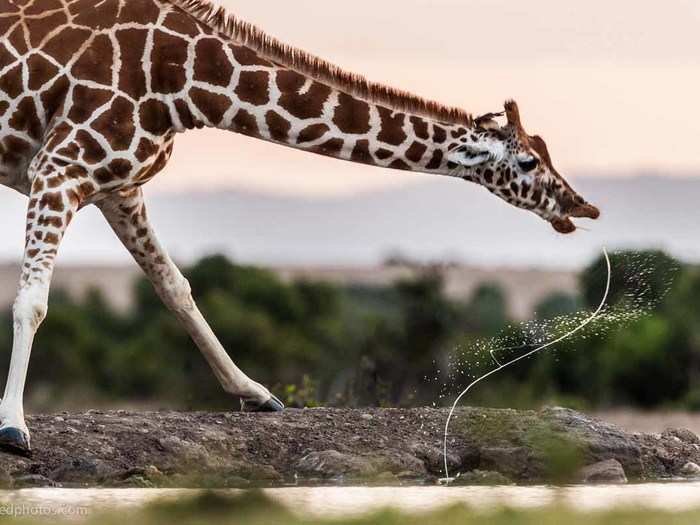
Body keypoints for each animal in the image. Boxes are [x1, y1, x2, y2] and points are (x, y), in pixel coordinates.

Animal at [0, 0, 600, 452]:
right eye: (529, 162)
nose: (582, 207)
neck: (186, 85)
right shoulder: (59, 169)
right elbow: (33, 301)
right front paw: (13, 427)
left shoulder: (118, 188)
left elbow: (177, 288)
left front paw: (255, 394)